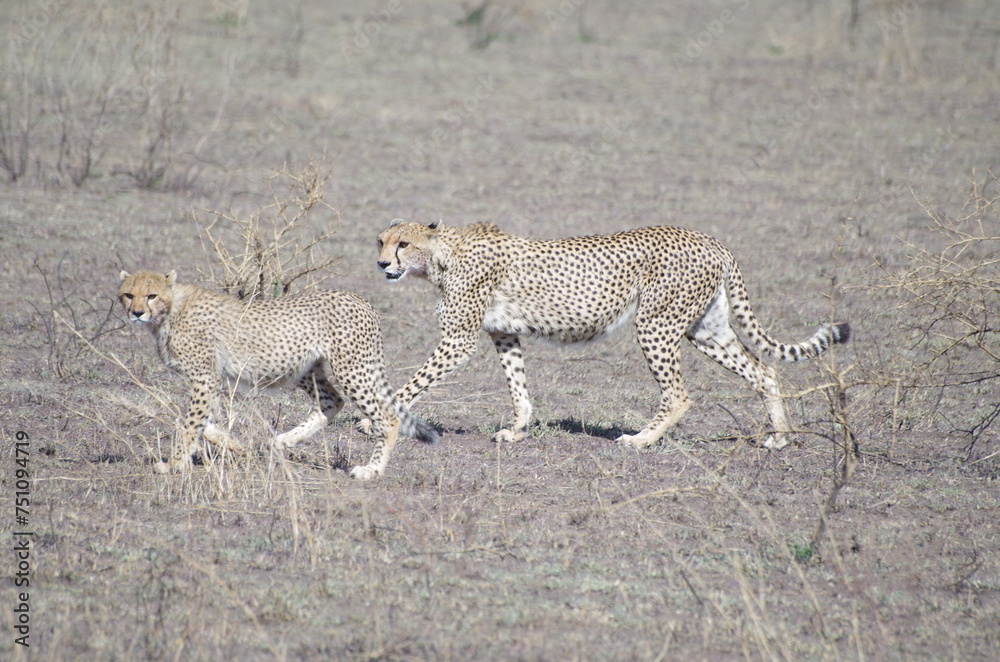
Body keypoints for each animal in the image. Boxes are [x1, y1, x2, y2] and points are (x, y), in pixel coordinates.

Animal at [117, 270, 438, 480]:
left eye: (151, 295)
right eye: (128, 295)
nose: (136, 313)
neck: (170, 309)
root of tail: (359, 298)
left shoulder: (204, 378)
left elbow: (189, 422)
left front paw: (173, 465)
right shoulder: (211, 379)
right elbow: (200, 421)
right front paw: (234, 445)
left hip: (351, 369)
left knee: (388, 417)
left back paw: (371, 470)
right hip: (307, 368)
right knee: (331, 401)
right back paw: (282, 441)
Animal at [374, 220, 850, 449]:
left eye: (403, 244)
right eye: (380, 240)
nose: (380, 264)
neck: (441, 254)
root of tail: (710, 240)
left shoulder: (458, 340)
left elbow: (411, 383)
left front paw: (374, 418)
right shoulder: (504, 334)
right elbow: (518, 387)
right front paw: (518, 430)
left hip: (656, 324)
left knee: (678, 394)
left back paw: (641, 440)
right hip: (706, 329)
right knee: (764, 372)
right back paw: (780, 437)